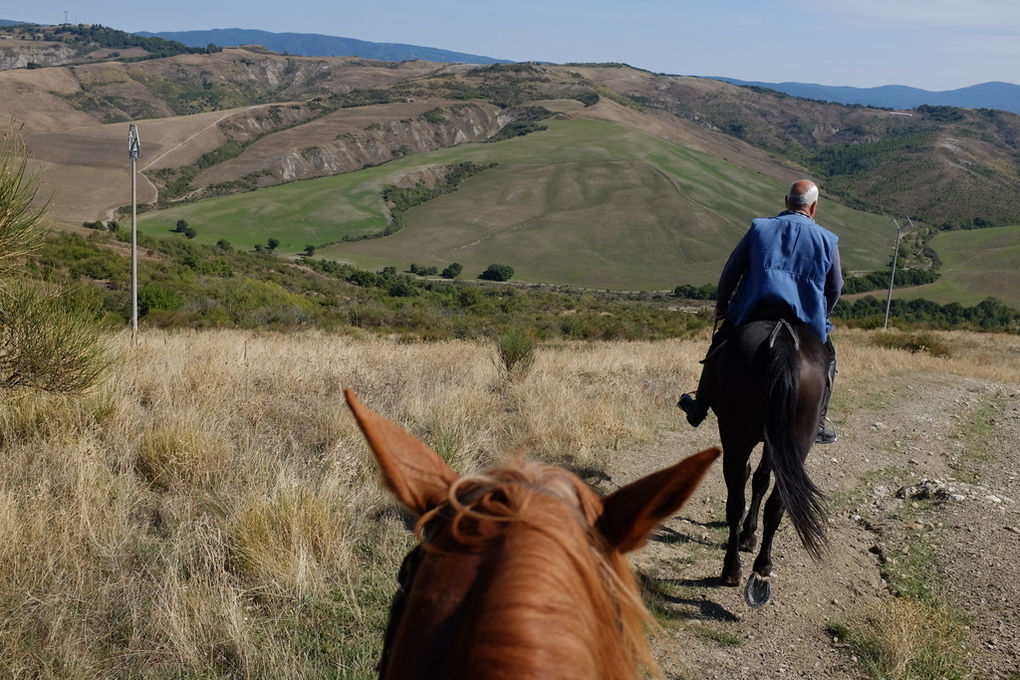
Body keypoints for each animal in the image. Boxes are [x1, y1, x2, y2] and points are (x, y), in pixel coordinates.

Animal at [705, 317, 830, 608]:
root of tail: (782, 338)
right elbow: (761, 480)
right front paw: (749, 535)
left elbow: (756, 478)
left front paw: (748, 535)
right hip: (796, 442)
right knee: (776, 503)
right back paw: (761, 568)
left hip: (737, 436)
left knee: (738, 501)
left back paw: (734, 569)